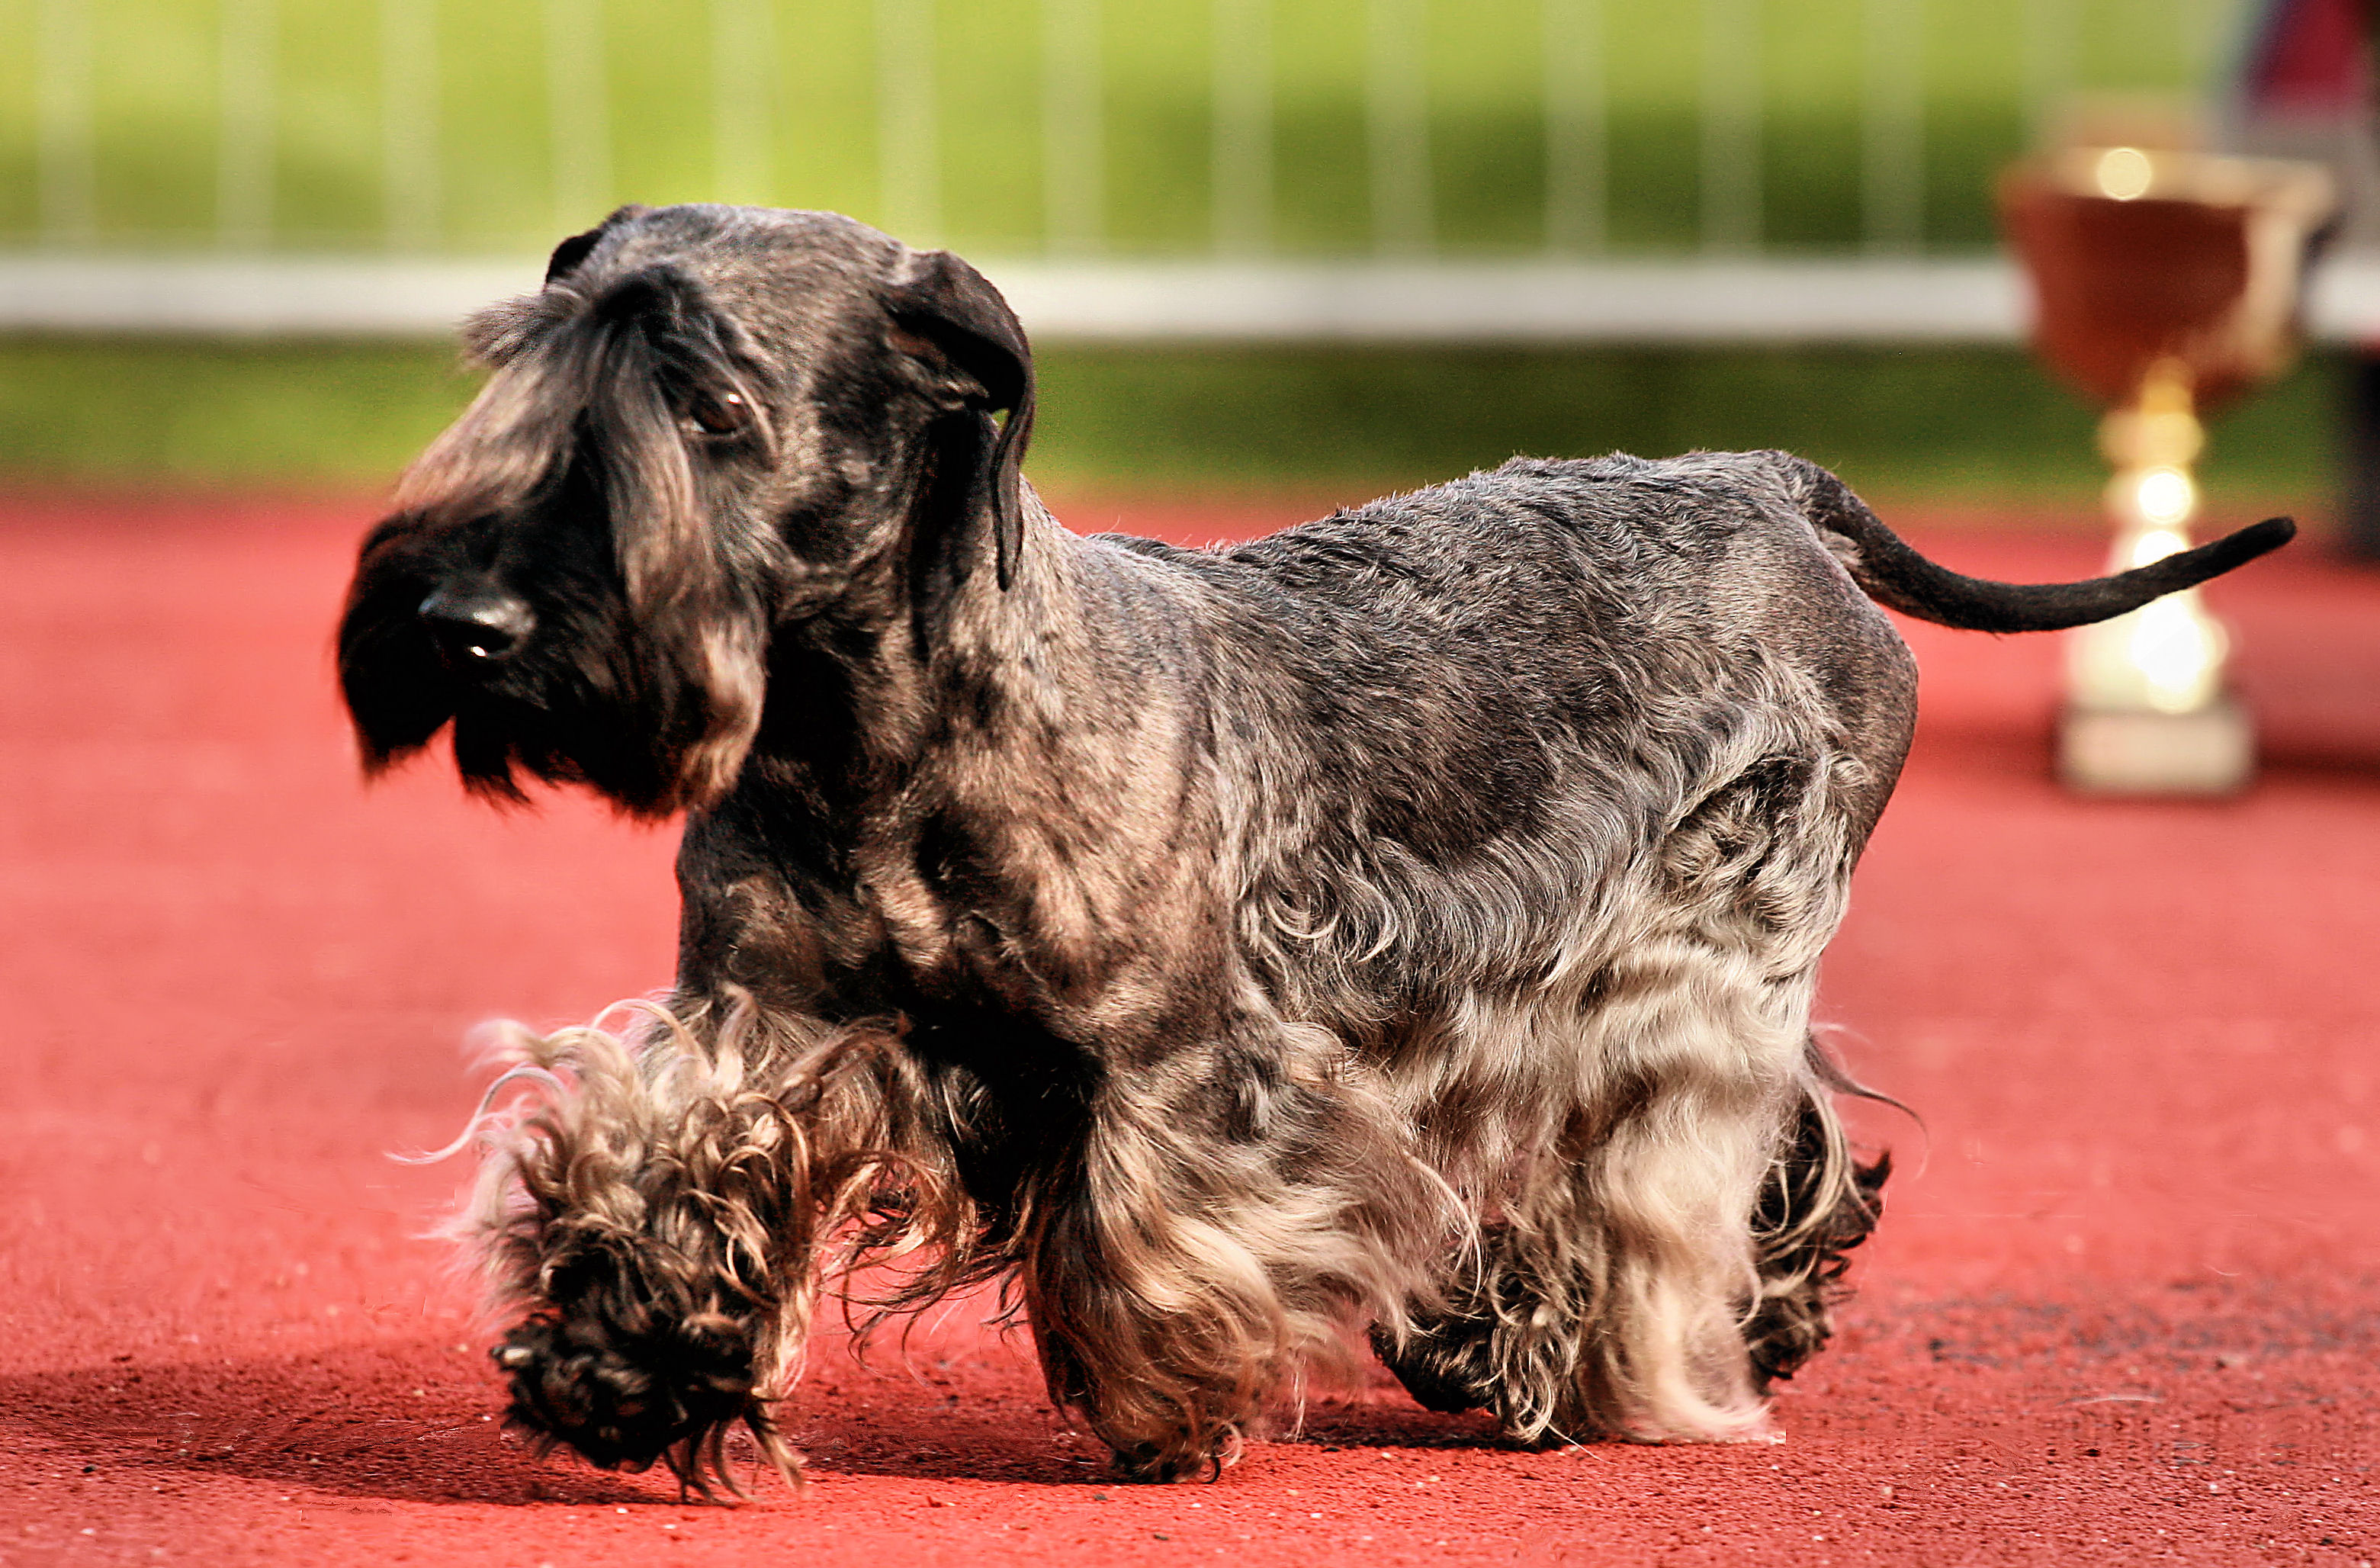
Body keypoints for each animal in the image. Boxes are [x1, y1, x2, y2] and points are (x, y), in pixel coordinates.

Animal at [336, 205, 2285, 1494]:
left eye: (710, 404)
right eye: (525, 377)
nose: (457, 623)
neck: (875, 737)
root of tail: (1769, 481)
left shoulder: (1177, 1065)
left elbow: (1152, 1229)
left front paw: (1167, 1407)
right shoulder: (759, 1025)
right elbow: (649, 1147)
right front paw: (619, 1350)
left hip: (1691, 968)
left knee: (1714, 1161)